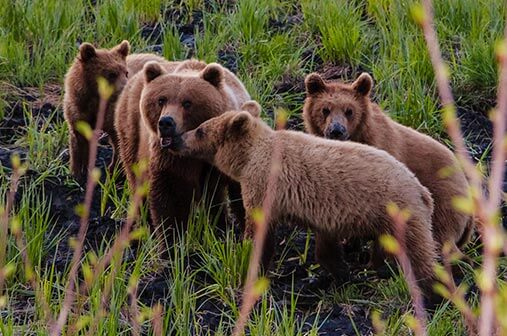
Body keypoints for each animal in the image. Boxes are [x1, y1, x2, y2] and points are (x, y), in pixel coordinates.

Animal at [62, 40, 167, 182]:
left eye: (126, 72)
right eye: (111, 74)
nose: (126, 87)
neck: (96, 100)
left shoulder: (113, 113)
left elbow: (118, 139)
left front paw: (114, 171)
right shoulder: (78, 109)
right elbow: (79, 140)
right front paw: (77, 173)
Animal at [114, 59, 251, 230]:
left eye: (187, 103)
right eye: (161, 100)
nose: (166, 122)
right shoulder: (169, 161)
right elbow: (169, 200)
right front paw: (172, 234)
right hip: (131, 134)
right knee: (136, 180)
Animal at [170, 106, 440, 306]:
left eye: (201, 129)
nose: (176, 139)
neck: (248, 159)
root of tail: (422, 190)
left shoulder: (264, 187)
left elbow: (260, 230)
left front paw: (249, 258)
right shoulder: (324, 216)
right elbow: (326, 247)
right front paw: (339, 273)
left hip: (399, 211)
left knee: (419, 254)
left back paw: (432, 292)